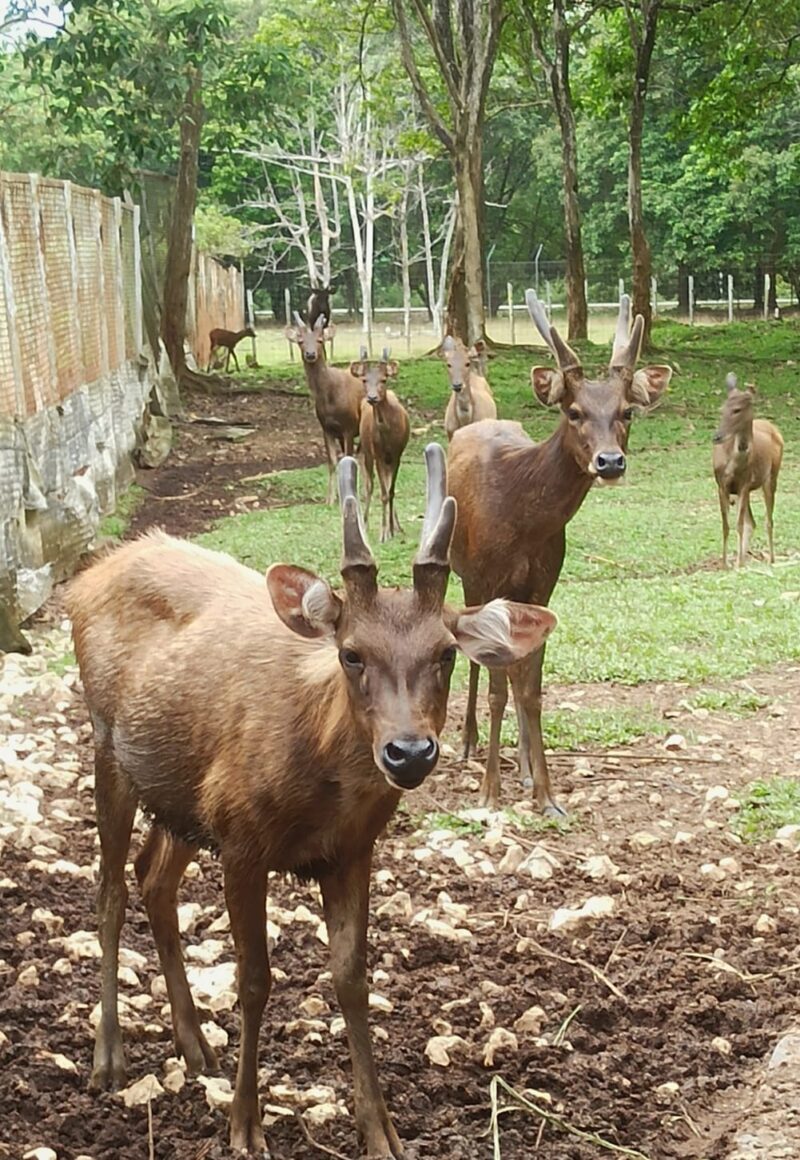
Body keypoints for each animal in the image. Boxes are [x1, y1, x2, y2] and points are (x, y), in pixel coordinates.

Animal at [65, 445, 554, 1160]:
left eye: (445, 653)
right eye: (352, 653)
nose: (409, 752)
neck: (321, 790)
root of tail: (90, 574)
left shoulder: (351, 851)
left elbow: (352, 978)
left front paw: (381, 1130)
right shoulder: (241, 839)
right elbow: (255, 978)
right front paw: (245, 1126)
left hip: (182, 795)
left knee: (152, 878)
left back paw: (195, 1045)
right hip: (107, 743)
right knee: (108, 893)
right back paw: (109, 1057)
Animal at [285, 313, 364, 503]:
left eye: (320, 340)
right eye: (300, 340)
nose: (310, 354)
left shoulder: (349, 426)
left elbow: (349, 459)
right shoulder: (326, 428)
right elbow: (333, 462)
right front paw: (330, 499)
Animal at [347, 345, 408, 540]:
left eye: (383, 379)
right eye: (364, 380)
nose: (372, 397)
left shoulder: (397, 454)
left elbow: (391, 491)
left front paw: (392, 528)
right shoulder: (378, 454)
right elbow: (383, 493)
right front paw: (384, 533)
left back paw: (397, 526)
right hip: (367, 451)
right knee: (369, 485)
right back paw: (365, 523)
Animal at [445, 287, 667, 816]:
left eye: (626, 412)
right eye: (573, 412)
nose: (609, 461)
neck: (523, 521)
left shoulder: (544, 584)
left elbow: (531, 687)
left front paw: (544, 792)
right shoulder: (488, 577)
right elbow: (498, 686)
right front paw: (489, 792)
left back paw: (523, 767)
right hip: (460, 570)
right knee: (474, 658)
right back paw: (467, 744)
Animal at [709, 373, 779, 568]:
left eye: (737, 410)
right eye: (722, 408)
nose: (717, 437)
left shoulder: (744, 484)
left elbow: (739, 524)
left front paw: (737, 564)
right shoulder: (722, 485)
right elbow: (726, 525)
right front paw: (725, 564)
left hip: (771, 476)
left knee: (767, 520)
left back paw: (770, 559)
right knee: (752, 522)